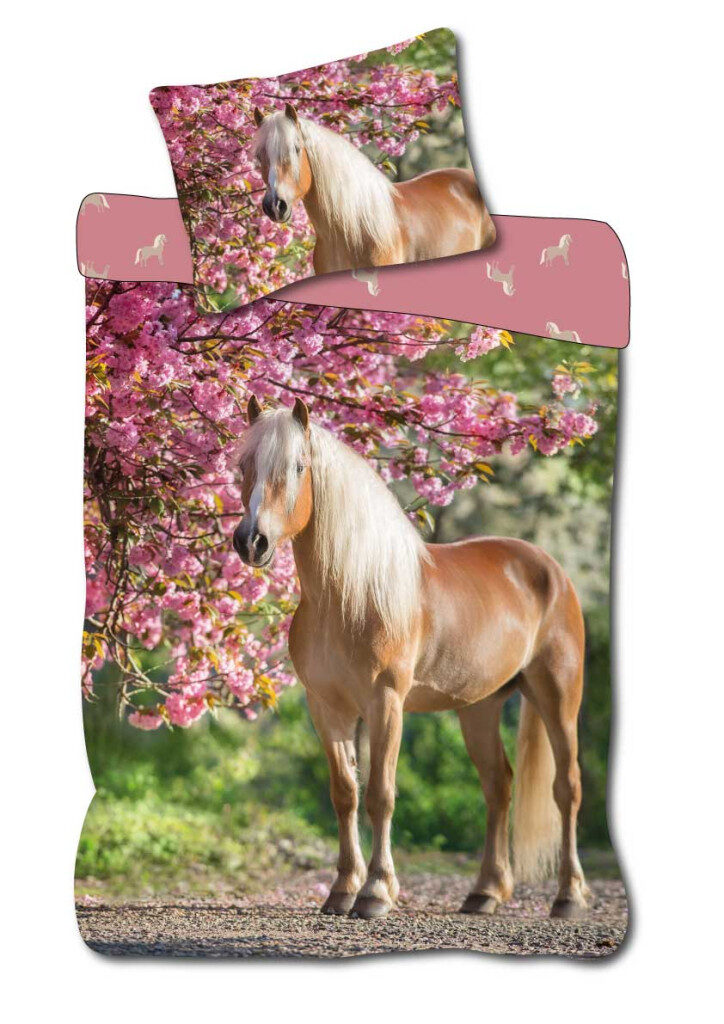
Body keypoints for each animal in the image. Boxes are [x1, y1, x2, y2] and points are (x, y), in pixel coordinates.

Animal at [232, 398, 590, 922]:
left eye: (298, 466)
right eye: (244, 465)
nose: (250, 541)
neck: (350, 595)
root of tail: (550, 570)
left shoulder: (386, 703)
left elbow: (381, 793)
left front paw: (376, 892)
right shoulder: (327, 708)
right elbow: (345, 793)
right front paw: (342, 889)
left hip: (558, 695)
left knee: (566, 788)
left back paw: (568, 896)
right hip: (479, 707)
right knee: (498, 786)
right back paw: (485, 892)